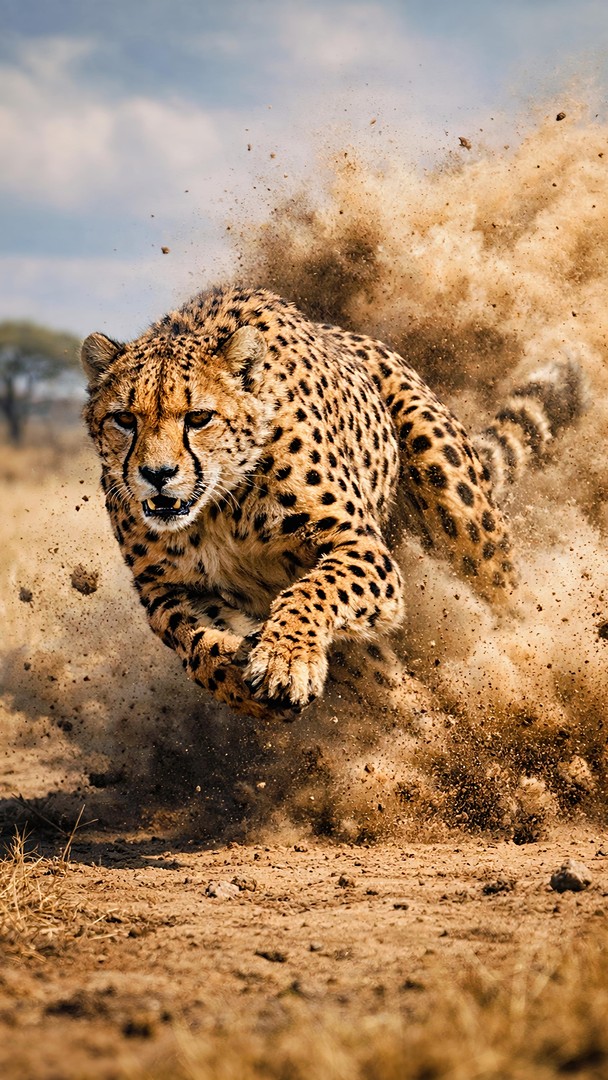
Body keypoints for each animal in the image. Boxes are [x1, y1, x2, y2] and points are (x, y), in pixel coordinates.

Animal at [82, 285, 583, 719]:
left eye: (198, 417)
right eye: (124, 419)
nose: (157, 475)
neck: (218, 509)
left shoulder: (359, 546)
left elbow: (314, 590)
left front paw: (284, 658)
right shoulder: (165, 589)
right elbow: (194, 643)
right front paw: (240, 671)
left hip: (455, 498)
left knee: (500, 586)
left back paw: (528, 656)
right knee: (392, 685)